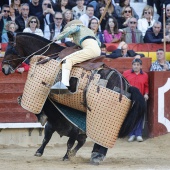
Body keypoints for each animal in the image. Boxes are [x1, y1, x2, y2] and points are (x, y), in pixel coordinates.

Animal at [1, 32, 146, 165]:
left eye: (10, 48)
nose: (4, 69)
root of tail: (127, 85)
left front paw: (40, 115)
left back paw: (96, 156)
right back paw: (95, 155)